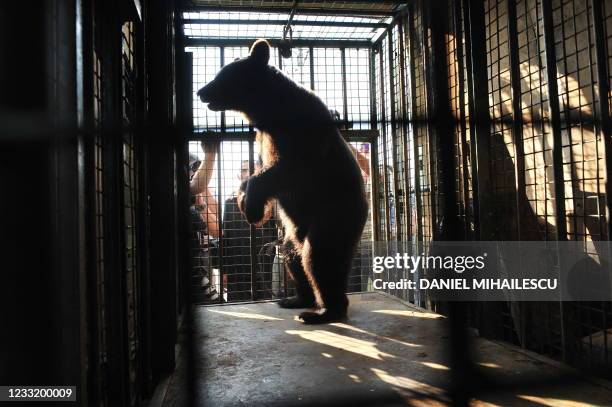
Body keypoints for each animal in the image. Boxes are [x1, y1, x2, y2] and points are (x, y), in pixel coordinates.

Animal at [197, 39, 368, 326]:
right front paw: (244, 199)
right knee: (293, 257)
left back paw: (324, 311)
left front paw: (252, 206)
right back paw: (297, 298)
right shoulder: (264, 138)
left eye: (223, 75)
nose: (201, 91)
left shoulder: (303, 135)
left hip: (334, 216)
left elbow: (286, 169)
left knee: (320, 257)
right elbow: (262, 170)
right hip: (293, 233)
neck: (271, 109)